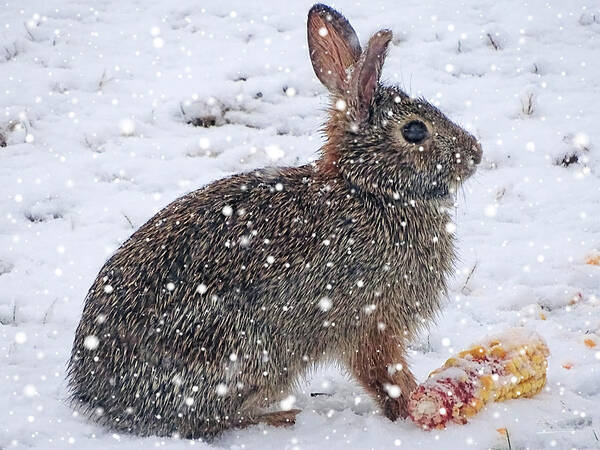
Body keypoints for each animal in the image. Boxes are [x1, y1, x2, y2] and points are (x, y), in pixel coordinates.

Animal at [65, 2, 480, 440]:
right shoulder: (371, 320)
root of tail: (97, 395)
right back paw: (280, 417)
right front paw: (415, 406)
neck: (368, 187)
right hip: (240, 354)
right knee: (209, 421)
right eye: (415, 130)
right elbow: (385, 376)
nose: (476, 152)